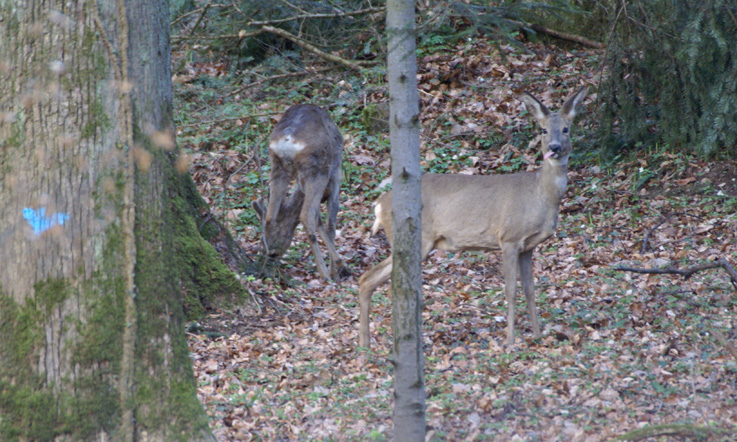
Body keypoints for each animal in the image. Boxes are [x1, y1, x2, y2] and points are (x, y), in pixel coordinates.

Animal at [252, 104, 346, 280]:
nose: (272, 254)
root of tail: (288, 139)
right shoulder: (335, 177)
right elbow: (330, 223)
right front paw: (336, 268)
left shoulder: (302, 183)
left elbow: (319, 221)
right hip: (317, 168)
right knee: (306, 215)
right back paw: (325, 273)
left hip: (278, 166)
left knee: (271, 215)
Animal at [356, 87, 588, 348]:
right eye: (544, 130)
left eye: (566, 129)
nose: (555, 147)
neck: (540, 195)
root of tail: (379, 203)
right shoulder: (509, 238)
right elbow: (510, 290)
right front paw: (510, 342)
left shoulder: (528, 246)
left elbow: (530, 289)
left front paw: (538, 336)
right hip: (416, 238)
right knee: (383, 282)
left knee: (368, 279)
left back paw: (366, 345)